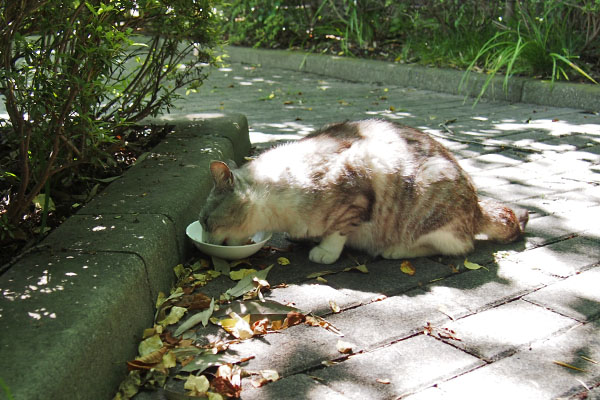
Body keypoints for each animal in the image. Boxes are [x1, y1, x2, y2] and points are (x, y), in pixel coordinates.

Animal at [197, 117, 524, 264]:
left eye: (205, 221)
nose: (202, 241)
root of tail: (478, 206)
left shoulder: (355, 194)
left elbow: (337, 232)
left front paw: (323, 252)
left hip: (430, 203)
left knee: (456, 246)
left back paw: (393, 250)